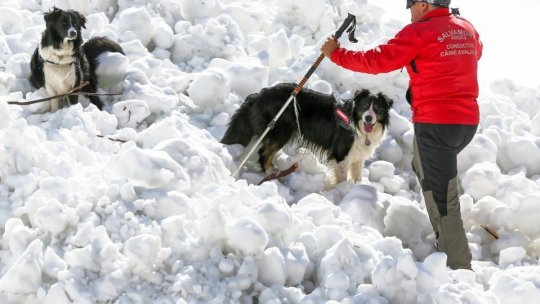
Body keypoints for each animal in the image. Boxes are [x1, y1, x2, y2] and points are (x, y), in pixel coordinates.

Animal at [219, 82, 392, 183]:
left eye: (377, 109)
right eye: (364, 107)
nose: (368, 118)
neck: (355, 123)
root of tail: (258, 95)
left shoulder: (357, 155)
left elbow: (357, 176)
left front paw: (355, 189)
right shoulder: (341, 154)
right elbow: (342, 177)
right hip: (281, 131)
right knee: (263, 154)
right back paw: (273, 175)